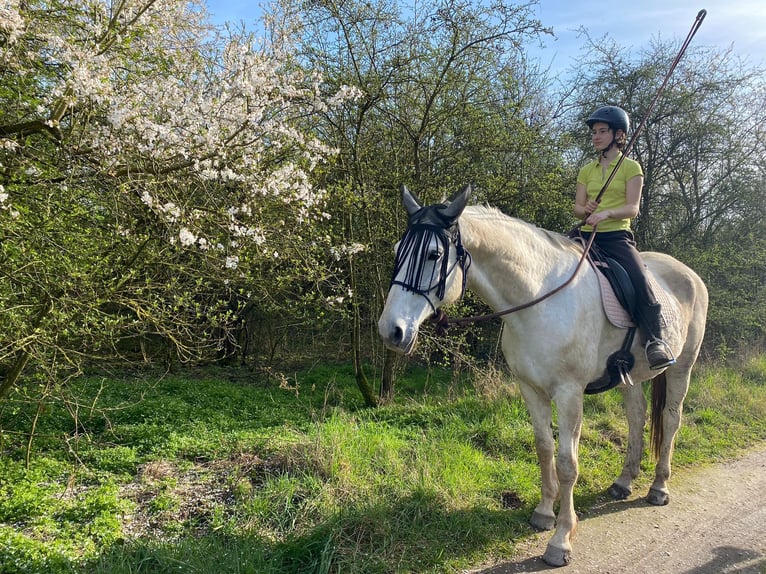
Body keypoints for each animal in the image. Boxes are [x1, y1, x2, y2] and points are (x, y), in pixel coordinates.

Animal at [380, 184, 712, 568]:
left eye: (434, 254)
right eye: (398, 250)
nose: (391, 331)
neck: (538, 298)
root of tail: (689, 274)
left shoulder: (568, 393)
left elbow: (568, 464)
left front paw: (561, 540)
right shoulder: (530, 388)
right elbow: (543, 449)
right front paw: (542, 514)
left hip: (682, 367)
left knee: (671, 420)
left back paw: (658, 487)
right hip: (632, 376)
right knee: (636, 416)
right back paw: (624, 481)